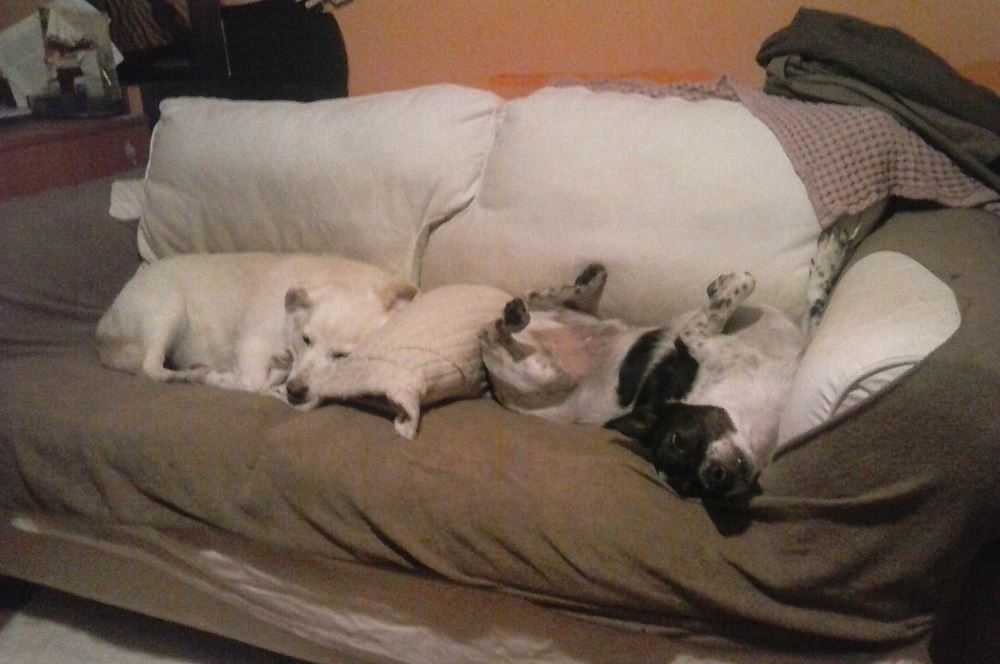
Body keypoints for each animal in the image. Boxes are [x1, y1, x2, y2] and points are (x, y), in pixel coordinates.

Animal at [97, 252, 416, 406]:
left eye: (342, 356)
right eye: (306, 339)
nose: (295, 391)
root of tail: (105, 323)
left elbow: (266, 378)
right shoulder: (252, 343)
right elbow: (252, 382)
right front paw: (218, 378)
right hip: (167, 310)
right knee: (152, 367)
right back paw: (187, 374)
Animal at [479, 264, 805, 497]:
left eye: (695, 489)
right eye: (677, 441)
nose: (714, 478)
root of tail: (493, 390)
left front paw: (718, 284)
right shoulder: (694, 335)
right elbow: (742, 285)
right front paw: (729, 282)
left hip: (582, 319)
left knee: (540, 298)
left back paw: (578, 285)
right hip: (546, 374)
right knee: (492, 332)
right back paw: (515, 318)